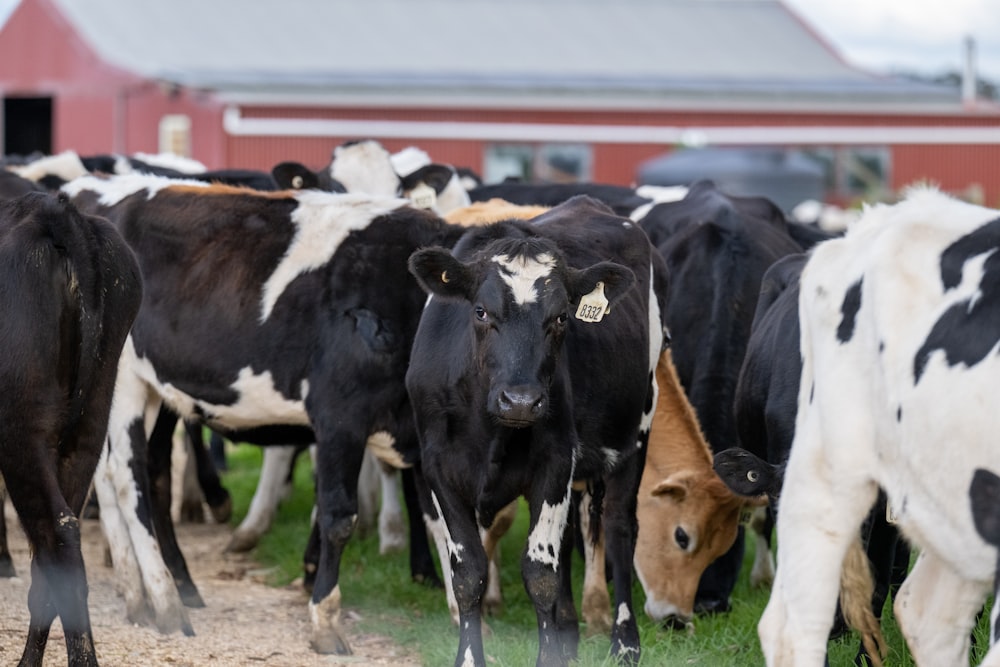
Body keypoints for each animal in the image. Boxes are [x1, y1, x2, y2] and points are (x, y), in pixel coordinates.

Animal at [406, 197, 664, 667]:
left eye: (561, 317)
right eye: (480, 311)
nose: (521, 401)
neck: (489, 430)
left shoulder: (556, 462)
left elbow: (541, 573)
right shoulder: (438, 468)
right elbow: (468, 573)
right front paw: (471, 658)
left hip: (636, 435)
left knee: (619, 529)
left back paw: (625, 642)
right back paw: (569, 637)